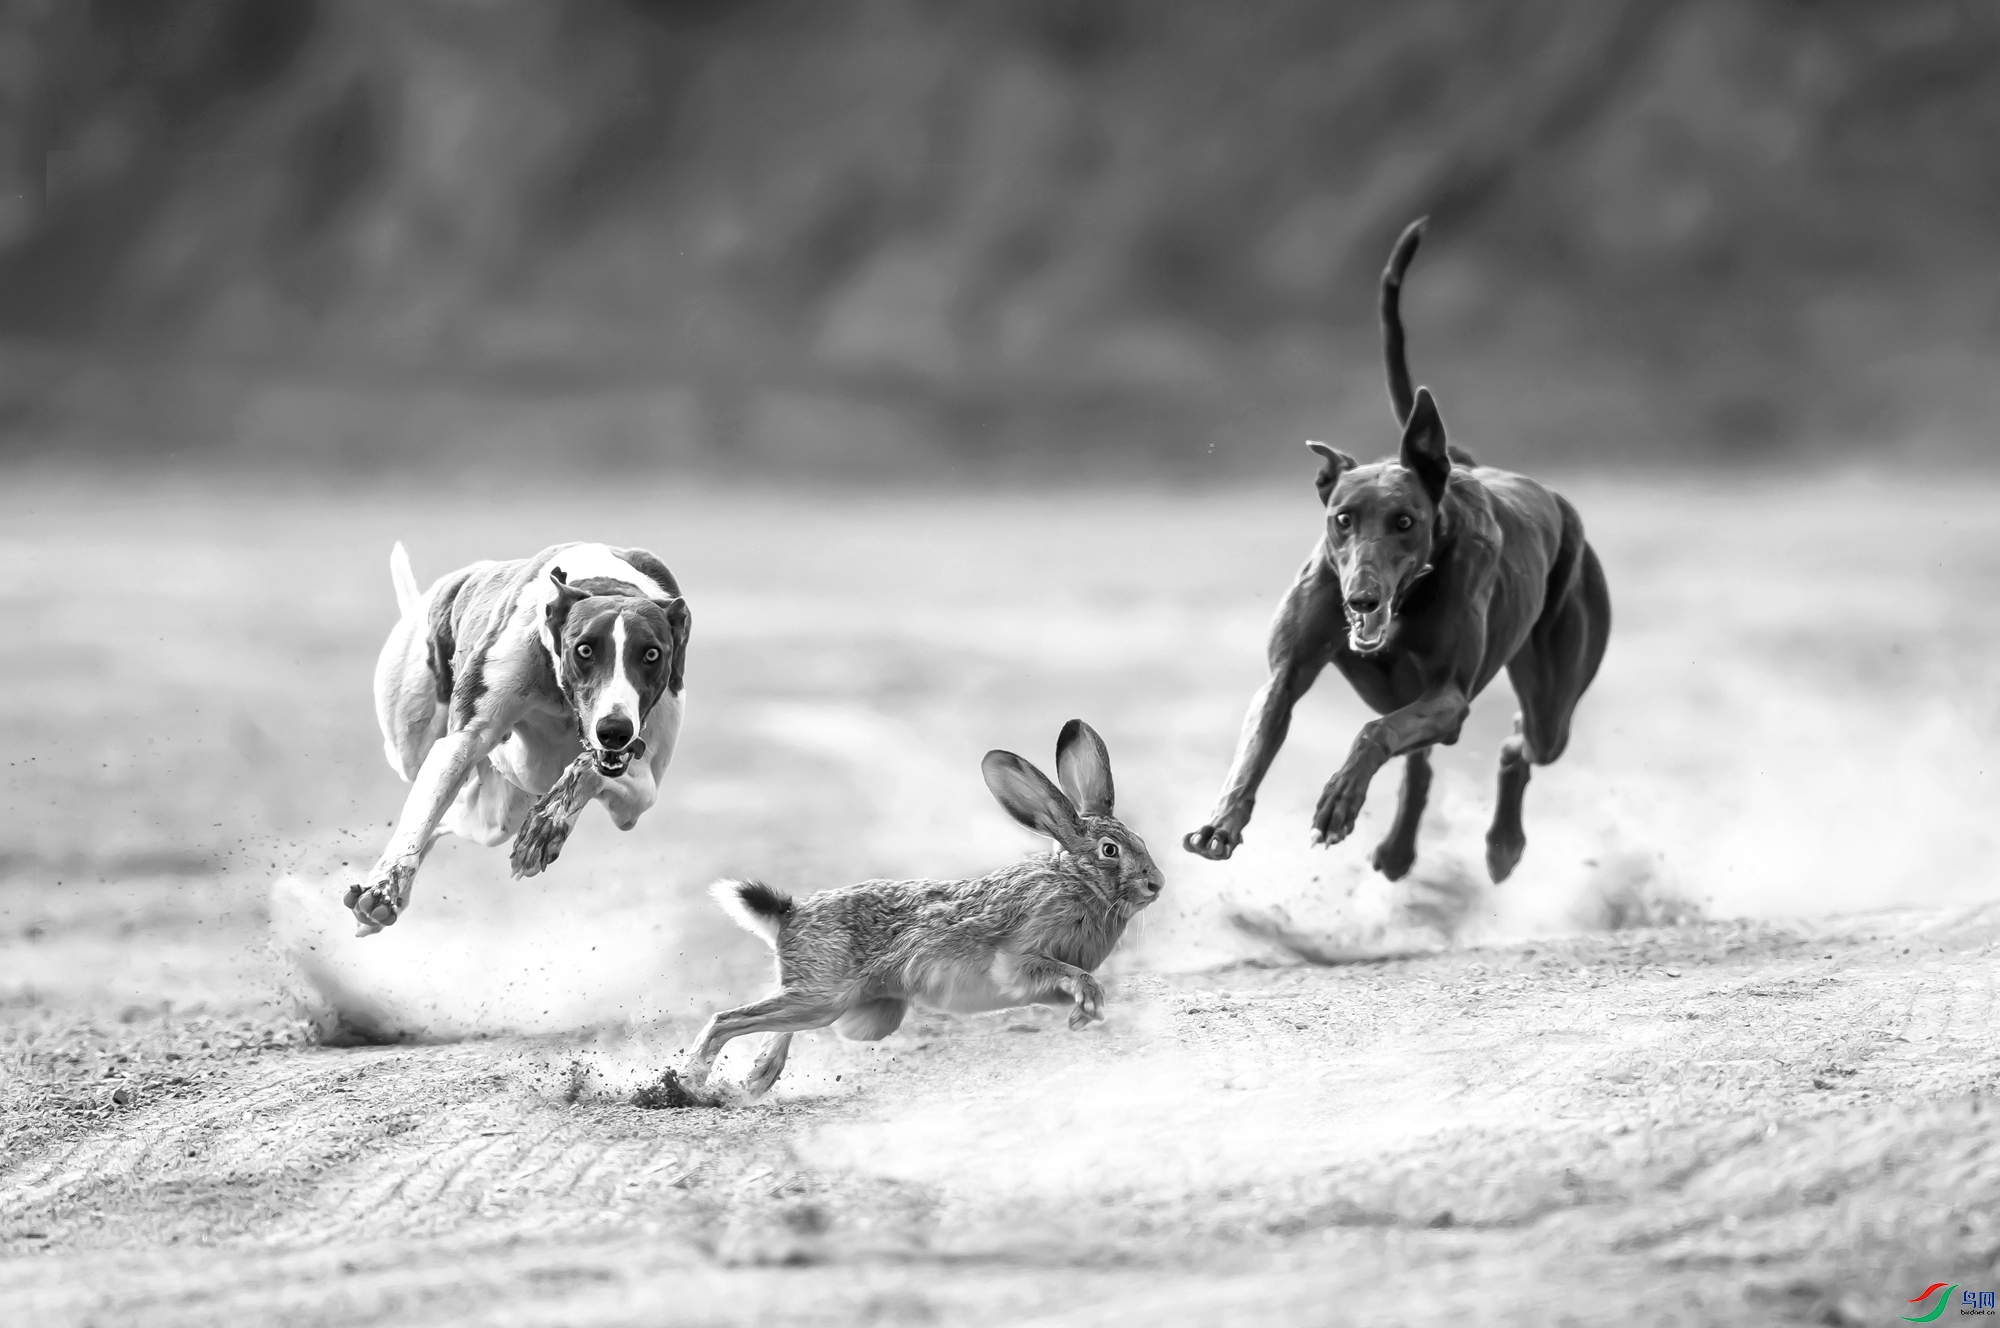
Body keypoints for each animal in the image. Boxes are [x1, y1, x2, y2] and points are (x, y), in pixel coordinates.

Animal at [356, 540, 700, 932]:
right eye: (584, 649)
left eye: (652, 654)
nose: (614, 730)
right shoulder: (462, 741)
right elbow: (426, 809)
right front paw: (383, 888)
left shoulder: (637, 801)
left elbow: (588, 770)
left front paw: (546, 826)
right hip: (414, 746)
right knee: (427, 794)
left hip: (502, 812)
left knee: (456, 816)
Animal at [1184, 218, 1608, 880]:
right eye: (1341, 520)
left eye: (1405, 521)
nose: (1362, 600)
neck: (1409, 599)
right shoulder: (1288, 671)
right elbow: (1256, 741)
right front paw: (1221, 822)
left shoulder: (1448, 696)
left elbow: (1374, 732)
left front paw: (1337, 801)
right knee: (1428, 759)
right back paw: (1402, 845)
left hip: (1553, 693)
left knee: (1519, 740)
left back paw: (1502, 841)